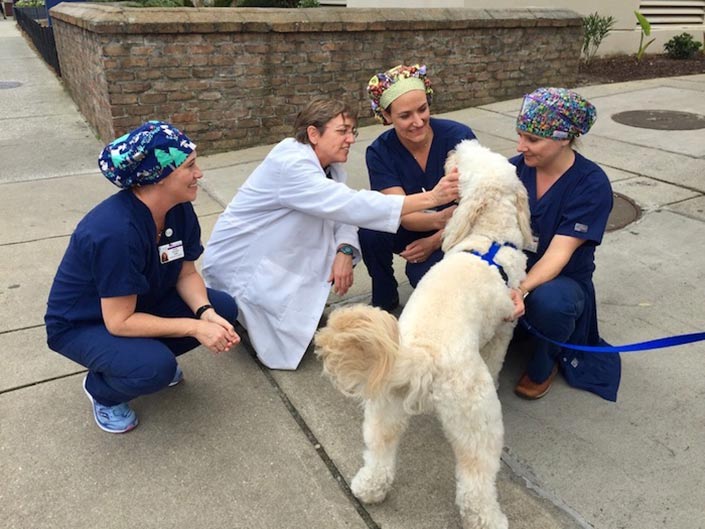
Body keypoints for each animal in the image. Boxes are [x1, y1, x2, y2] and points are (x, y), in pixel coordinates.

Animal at [314, 140, 528, 528]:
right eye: (469, 158)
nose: (460, 145)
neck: (489, 239)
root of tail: (421, 356)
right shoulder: (504, 329)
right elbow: (496, 359)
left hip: (384, 405)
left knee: (379, 451)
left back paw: (369, 488)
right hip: (477, 420)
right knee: (475, 483)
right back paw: (490, 519)